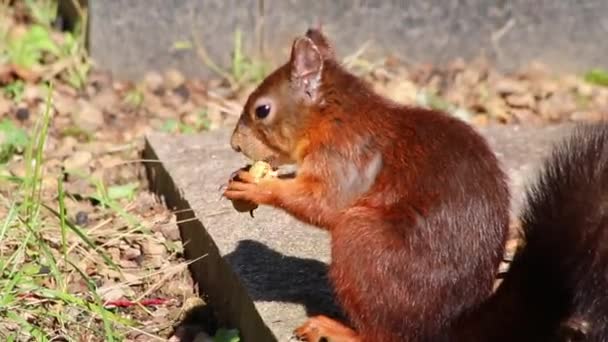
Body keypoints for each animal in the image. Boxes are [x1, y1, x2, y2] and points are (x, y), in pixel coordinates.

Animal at [223, 28, 608, 340]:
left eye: (262, 110)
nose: (234, 144)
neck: (333, 117)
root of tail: (444, 328)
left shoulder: (346, 157)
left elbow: (323, 202)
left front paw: (256, 188)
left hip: (361, 241)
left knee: (384, 336)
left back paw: (337, 331)